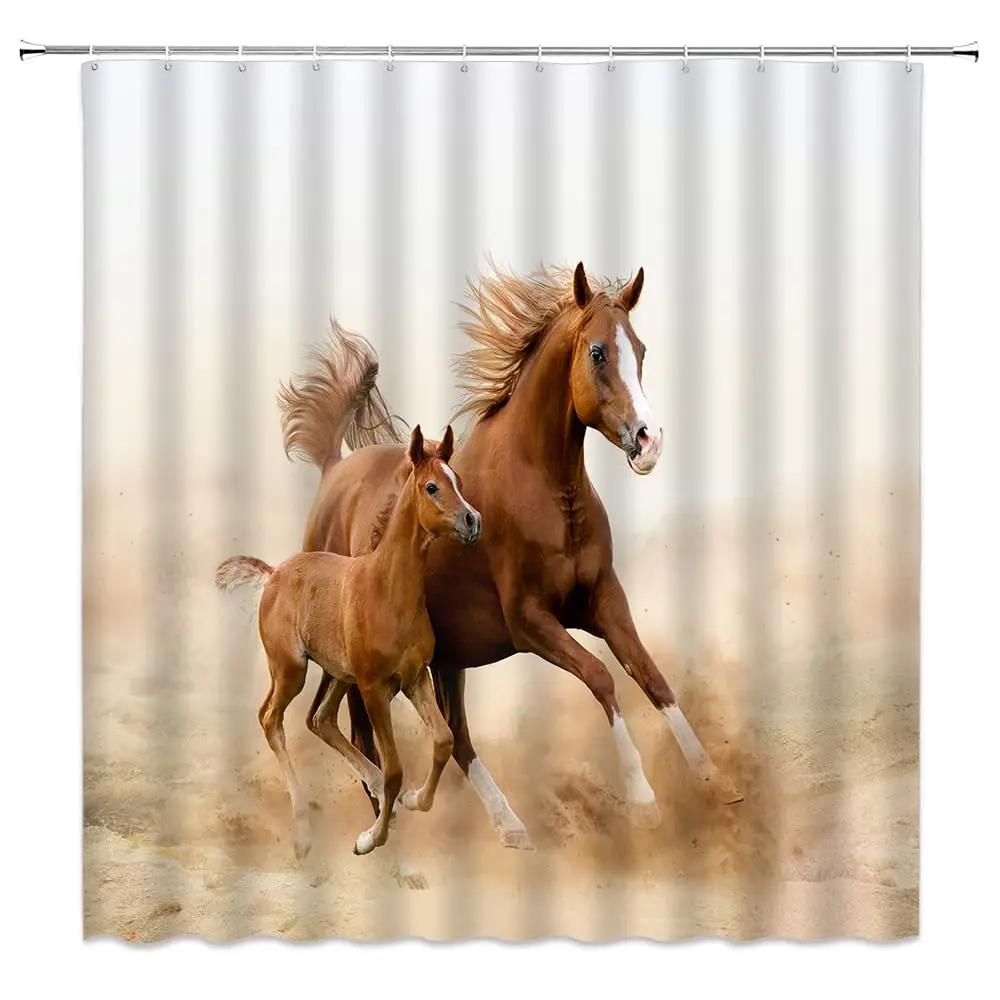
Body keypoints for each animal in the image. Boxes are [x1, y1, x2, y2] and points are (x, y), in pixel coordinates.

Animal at [216, 424, 482, 859]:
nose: (473, 520)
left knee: (321, 719)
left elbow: (442, 740)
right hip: (292, 670)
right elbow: (395, 769)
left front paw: (413, 800)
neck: (387, 590)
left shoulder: (415, 679)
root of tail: (273, 574)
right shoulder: (374, 688)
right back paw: (304, 833)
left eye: (457, 480)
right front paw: (368, 839)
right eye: (431, 487)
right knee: (271, 718)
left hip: (340, 674)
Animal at [279, 262, 743, 852]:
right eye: (597, 352)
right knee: (353, 725)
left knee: (454, 736)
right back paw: (389, 823)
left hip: (446, 658)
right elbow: (601, 677)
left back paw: (508, 825)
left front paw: (714, 780)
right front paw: (643, 802)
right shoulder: (530, 621)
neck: (546, 491)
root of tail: (334, 468)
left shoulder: (604, 600)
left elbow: (650, 675)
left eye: (640, 349)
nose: (649, 441)